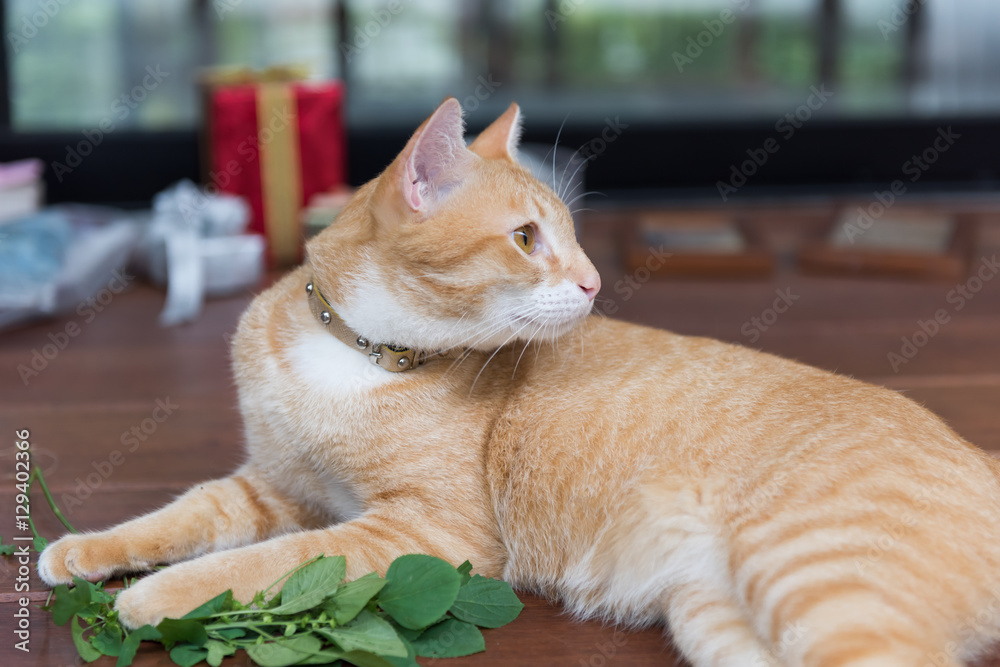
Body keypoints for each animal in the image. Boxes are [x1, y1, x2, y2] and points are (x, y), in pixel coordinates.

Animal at [43, 99, 1000, 667]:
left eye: (567, 237)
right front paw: (81, 550)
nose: (594, 284)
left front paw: (154, 598)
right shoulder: (273, 485)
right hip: (727, 625)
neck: (355, 353)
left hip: (819, 584)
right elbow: (186, 515)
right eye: (528, 238)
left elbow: (261, 563)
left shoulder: (416, 530)